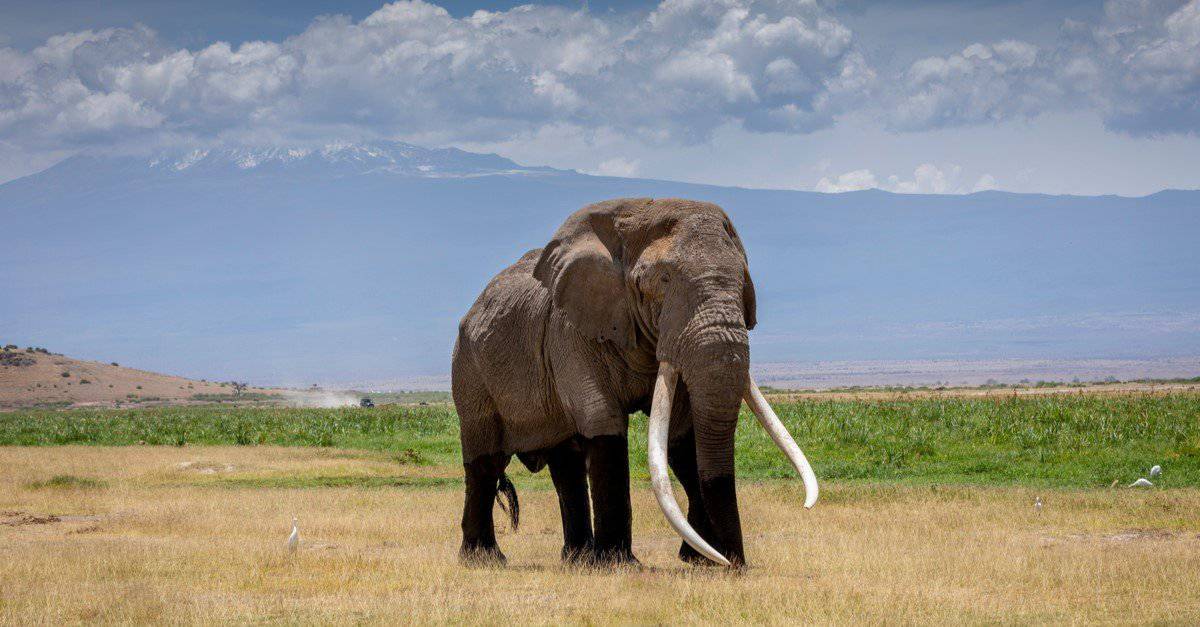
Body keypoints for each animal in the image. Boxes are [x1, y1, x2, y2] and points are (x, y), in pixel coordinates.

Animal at [451, 198, 817, 568]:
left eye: (743, 282)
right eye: (663, 280)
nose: (736, 564)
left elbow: (682, 435)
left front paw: (701, 561)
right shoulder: (569, 330)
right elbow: (602, 418)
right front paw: (618, 565)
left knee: (565, 463)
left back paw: (577, 559)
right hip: (469, 368)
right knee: (485, 461)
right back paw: (484, 559)